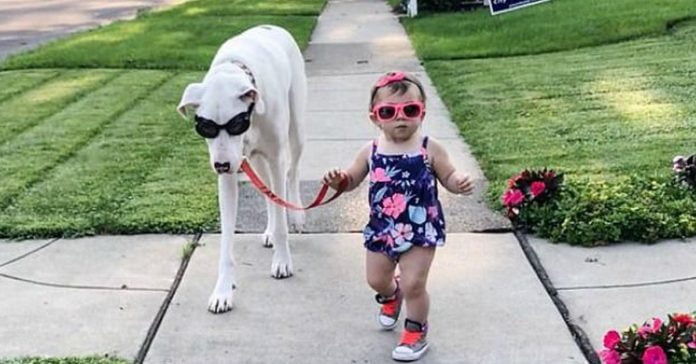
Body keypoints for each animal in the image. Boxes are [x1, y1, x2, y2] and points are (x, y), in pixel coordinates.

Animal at [177, 24, 304, 312]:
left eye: (236, 123)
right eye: (205, 127)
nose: (222, 165)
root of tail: (271, 26)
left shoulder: (275, 157)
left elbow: (281, 212)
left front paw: (283, 260)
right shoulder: (228, 175)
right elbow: (226, 242)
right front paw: (223, 290)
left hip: (296, 130)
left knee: (291, 174)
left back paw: (297, 216)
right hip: (254, 160)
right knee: (269, 193)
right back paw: (269, 229)